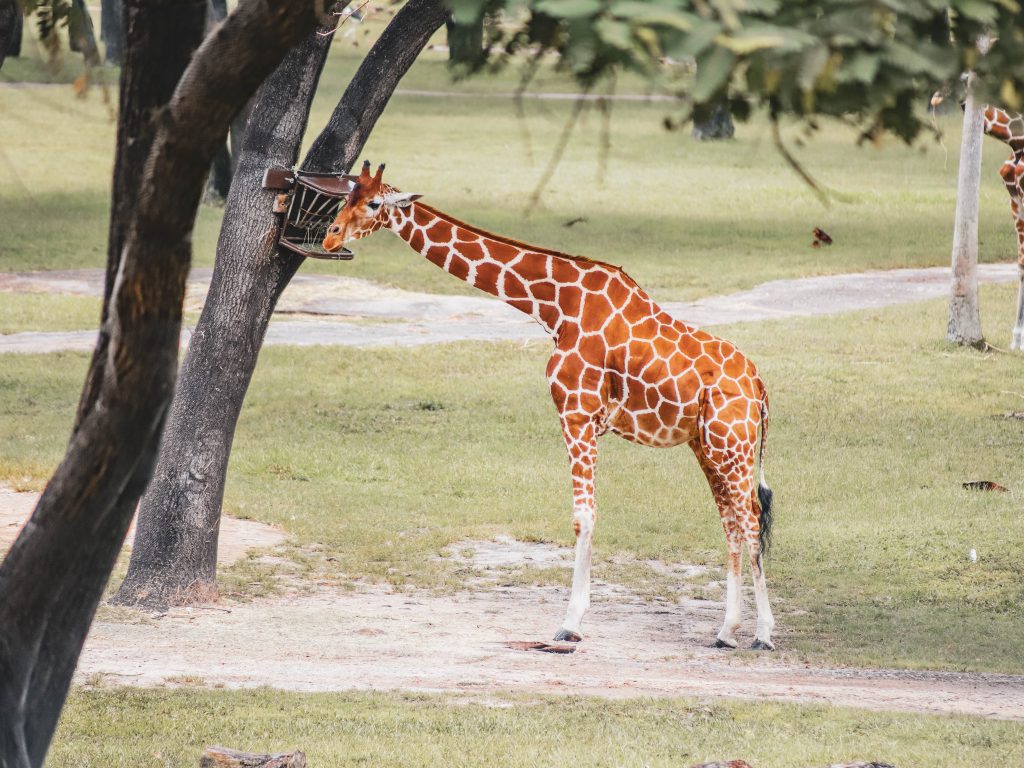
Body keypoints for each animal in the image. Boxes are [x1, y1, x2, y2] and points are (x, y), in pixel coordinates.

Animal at [325, 160, 774, 651]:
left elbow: (583, 518)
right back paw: (726, 632)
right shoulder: (586, 420)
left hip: (732, 447)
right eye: (345, 195)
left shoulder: (576, 414)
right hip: (707, 446)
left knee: (751, 522)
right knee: (732, 521)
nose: (329, 237)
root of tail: (759, 386)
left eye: (372, 203)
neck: (555, 305)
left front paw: (570, 623)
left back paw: (764, 634)